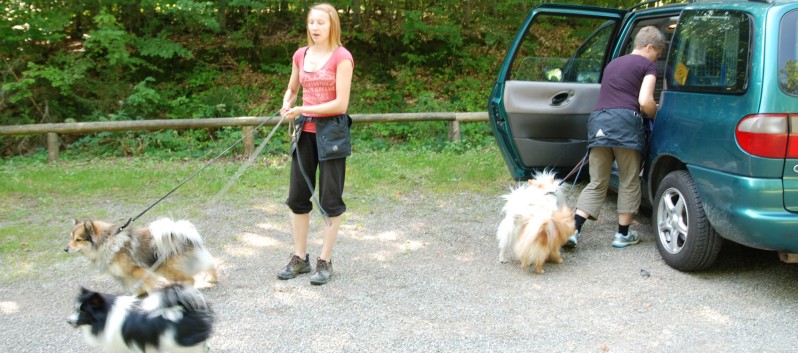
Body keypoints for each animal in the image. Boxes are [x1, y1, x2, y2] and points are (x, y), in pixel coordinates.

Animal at [66, 217, 219, 294]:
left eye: (78, 240)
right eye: (71, 237)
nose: (65, 249)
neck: (107, 241)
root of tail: (178, 235)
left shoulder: (139, 271)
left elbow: (148, 286)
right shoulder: (126, 275)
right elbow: (136, 289)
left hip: (168, 270)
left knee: (191, 279)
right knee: (209, 264)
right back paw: (212, 279)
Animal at [69, 284, 214, 352]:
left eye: (83, 312)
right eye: (75, 309)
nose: (68, 321)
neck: (107, 315)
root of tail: (188, 307)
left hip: (179, 343)